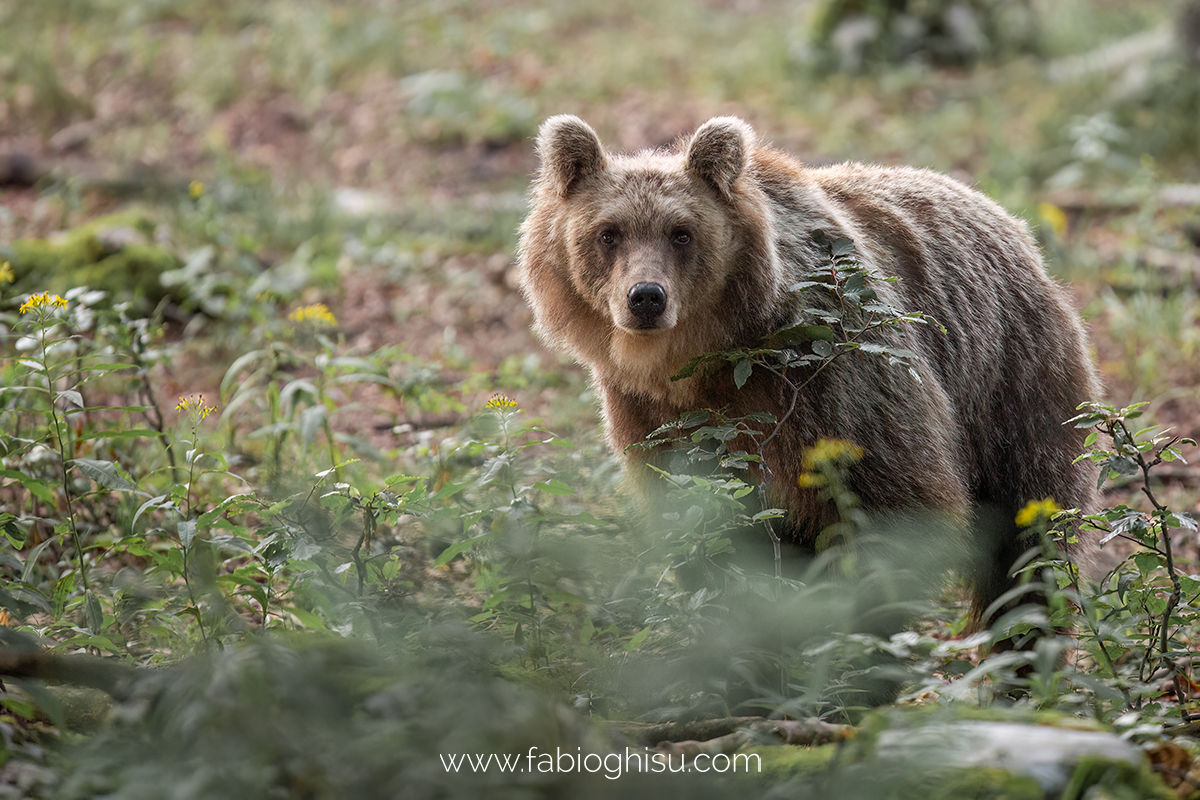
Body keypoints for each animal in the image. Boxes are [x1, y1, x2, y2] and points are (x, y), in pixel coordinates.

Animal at [513, 113, 1099, 618]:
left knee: (1030, 536)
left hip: (1011, 380)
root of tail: (1008, 218)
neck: (708, 358)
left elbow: (896, 506)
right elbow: (700, 519)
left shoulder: (830, 374)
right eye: (608, 233)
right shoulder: (651, 412)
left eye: (681, 233)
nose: (646, 298)